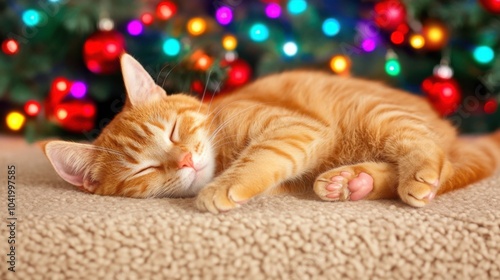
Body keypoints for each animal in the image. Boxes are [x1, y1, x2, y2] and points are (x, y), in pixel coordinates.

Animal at [42, 53, 500, 213]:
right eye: (145, 170)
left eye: (172, 132)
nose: (185, 160)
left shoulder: (295, 127)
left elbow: (263, 154)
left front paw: (224, 187)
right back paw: (355, 182)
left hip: (376, 114)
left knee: (435, 158)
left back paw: (412, 174)